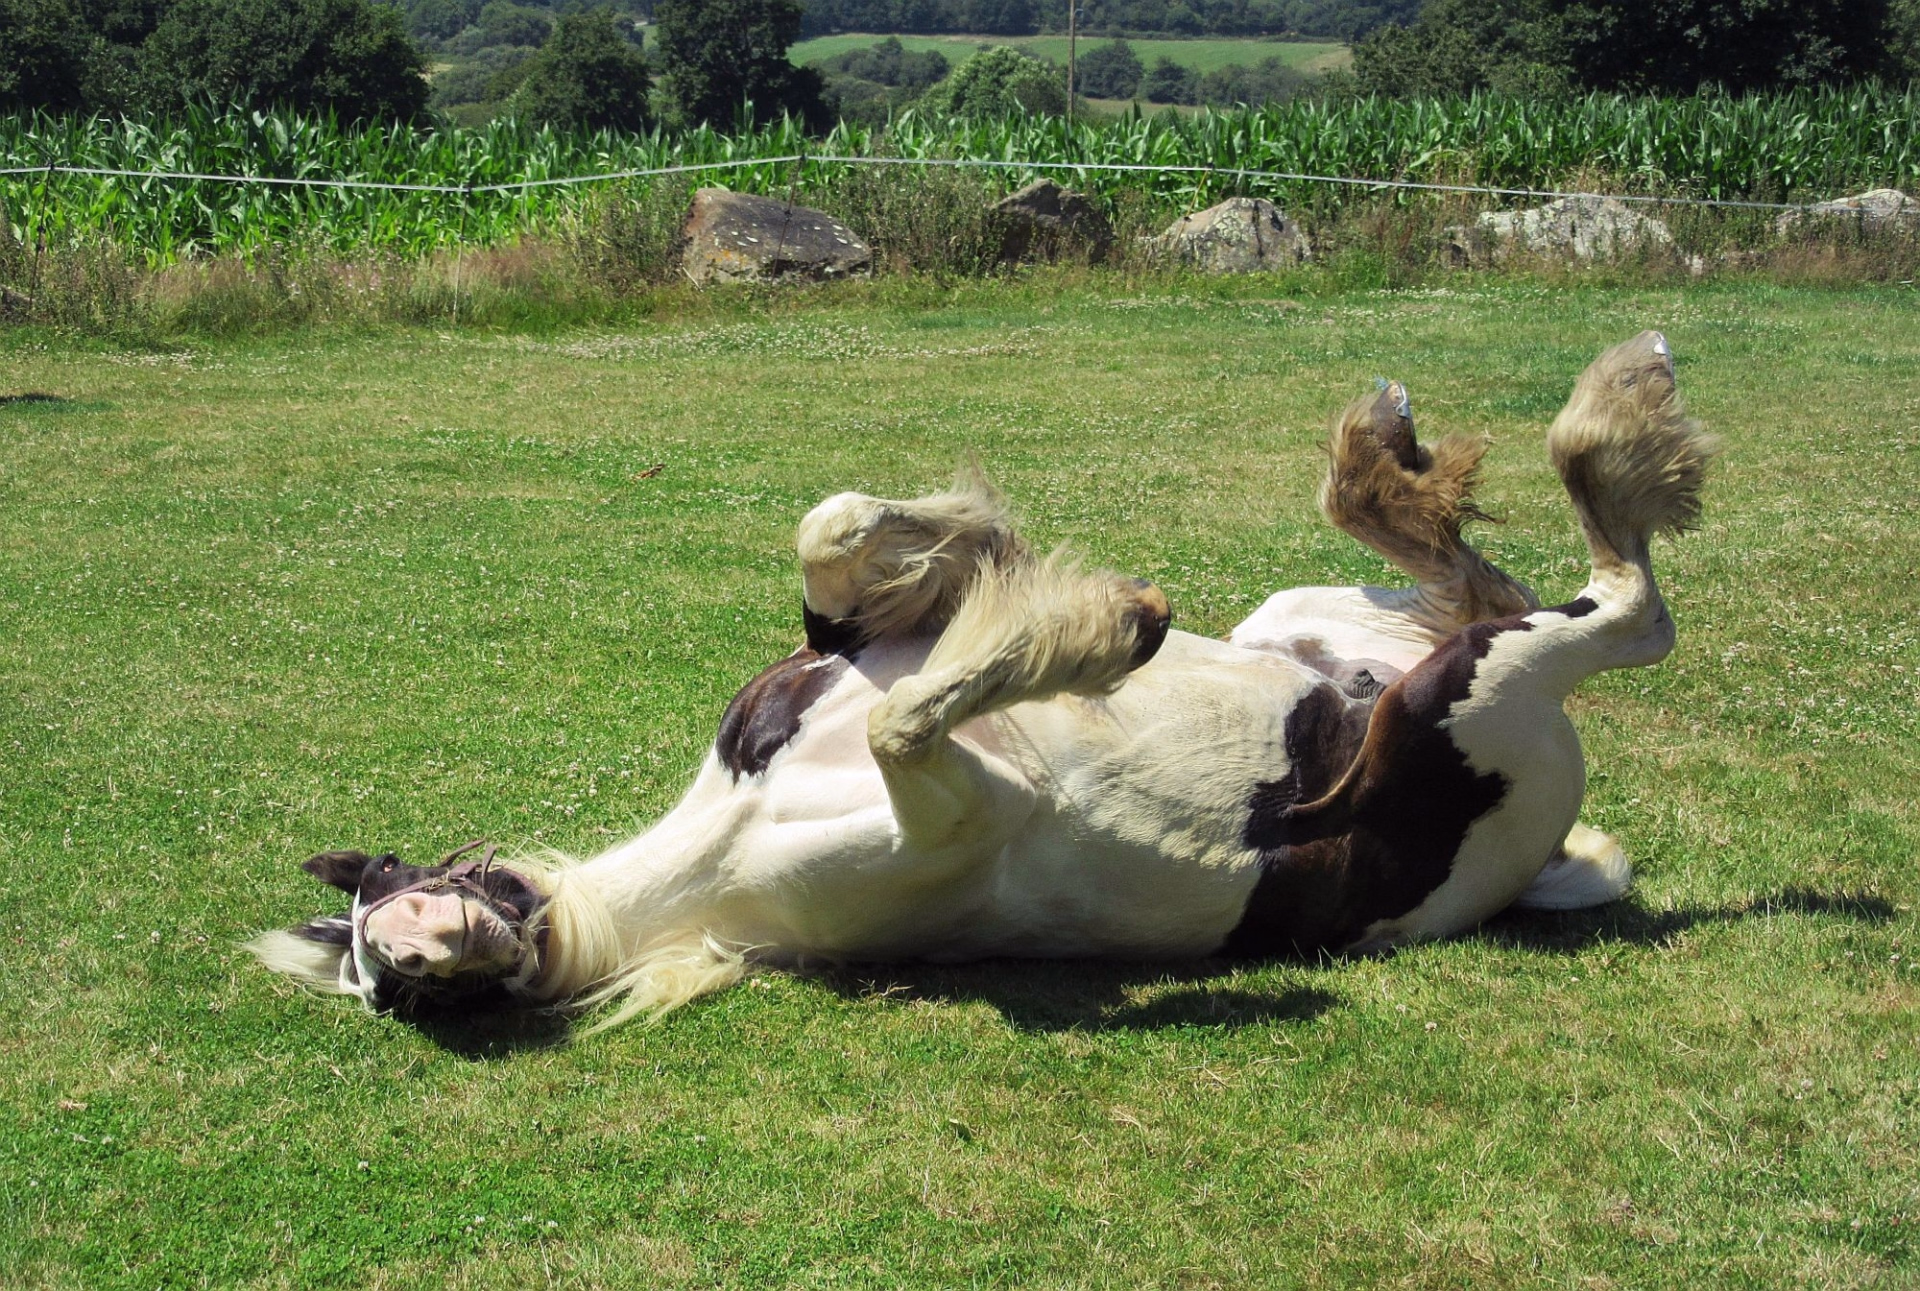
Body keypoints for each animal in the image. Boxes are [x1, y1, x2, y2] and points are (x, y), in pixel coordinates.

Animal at [251, 331, 1715, 1030]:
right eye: (395, 991)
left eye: (400, 888)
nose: (426, 950)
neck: (724, 840)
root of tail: (1542, 858)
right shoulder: (969, 807)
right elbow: (916, 716)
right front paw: (1097, 630)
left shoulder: (843, 649)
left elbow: (841, 536)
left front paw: (1000, 555)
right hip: (1466, 702)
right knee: (1626, 609)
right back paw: (1613, 412)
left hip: (1324, 627)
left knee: (1488, 575)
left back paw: (1408, 439)